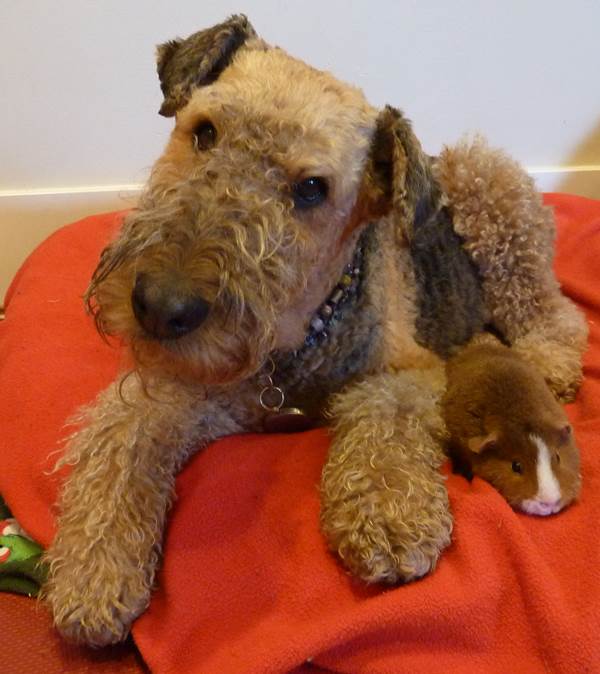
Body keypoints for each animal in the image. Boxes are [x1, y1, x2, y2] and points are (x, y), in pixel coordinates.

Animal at [44, 17, 588, 644]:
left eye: (311, 188)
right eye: (204, 132)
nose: (159, 307)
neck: (292, 346)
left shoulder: (411, 372)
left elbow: (384, 424)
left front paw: (387, 517)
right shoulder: (187, 388)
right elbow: (123, 440)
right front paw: (94, 574)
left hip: (495, 206)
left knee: (554, 310)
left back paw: (552, 363)